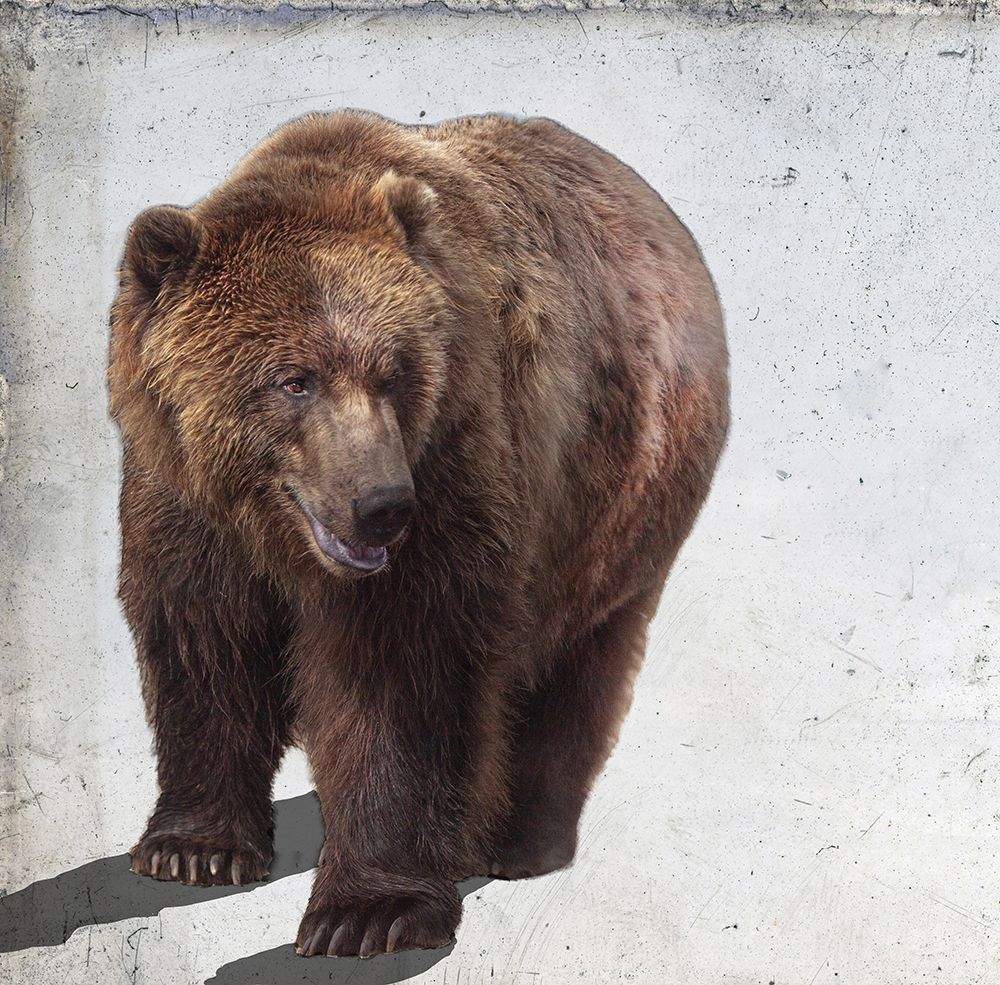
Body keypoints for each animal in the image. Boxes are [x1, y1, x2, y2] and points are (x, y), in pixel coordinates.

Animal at [108, 109, 729, 957]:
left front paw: (370, 909)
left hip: (612, 514)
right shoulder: (184, 500)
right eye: (293, 379)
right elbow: (205, 640)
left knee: (574, 666)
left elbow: (402, 669)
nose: (382, 504)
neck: (275, 527)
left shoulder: (456, 458)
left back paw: (513, 839)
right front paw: (193, 847)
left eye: (393, 370)